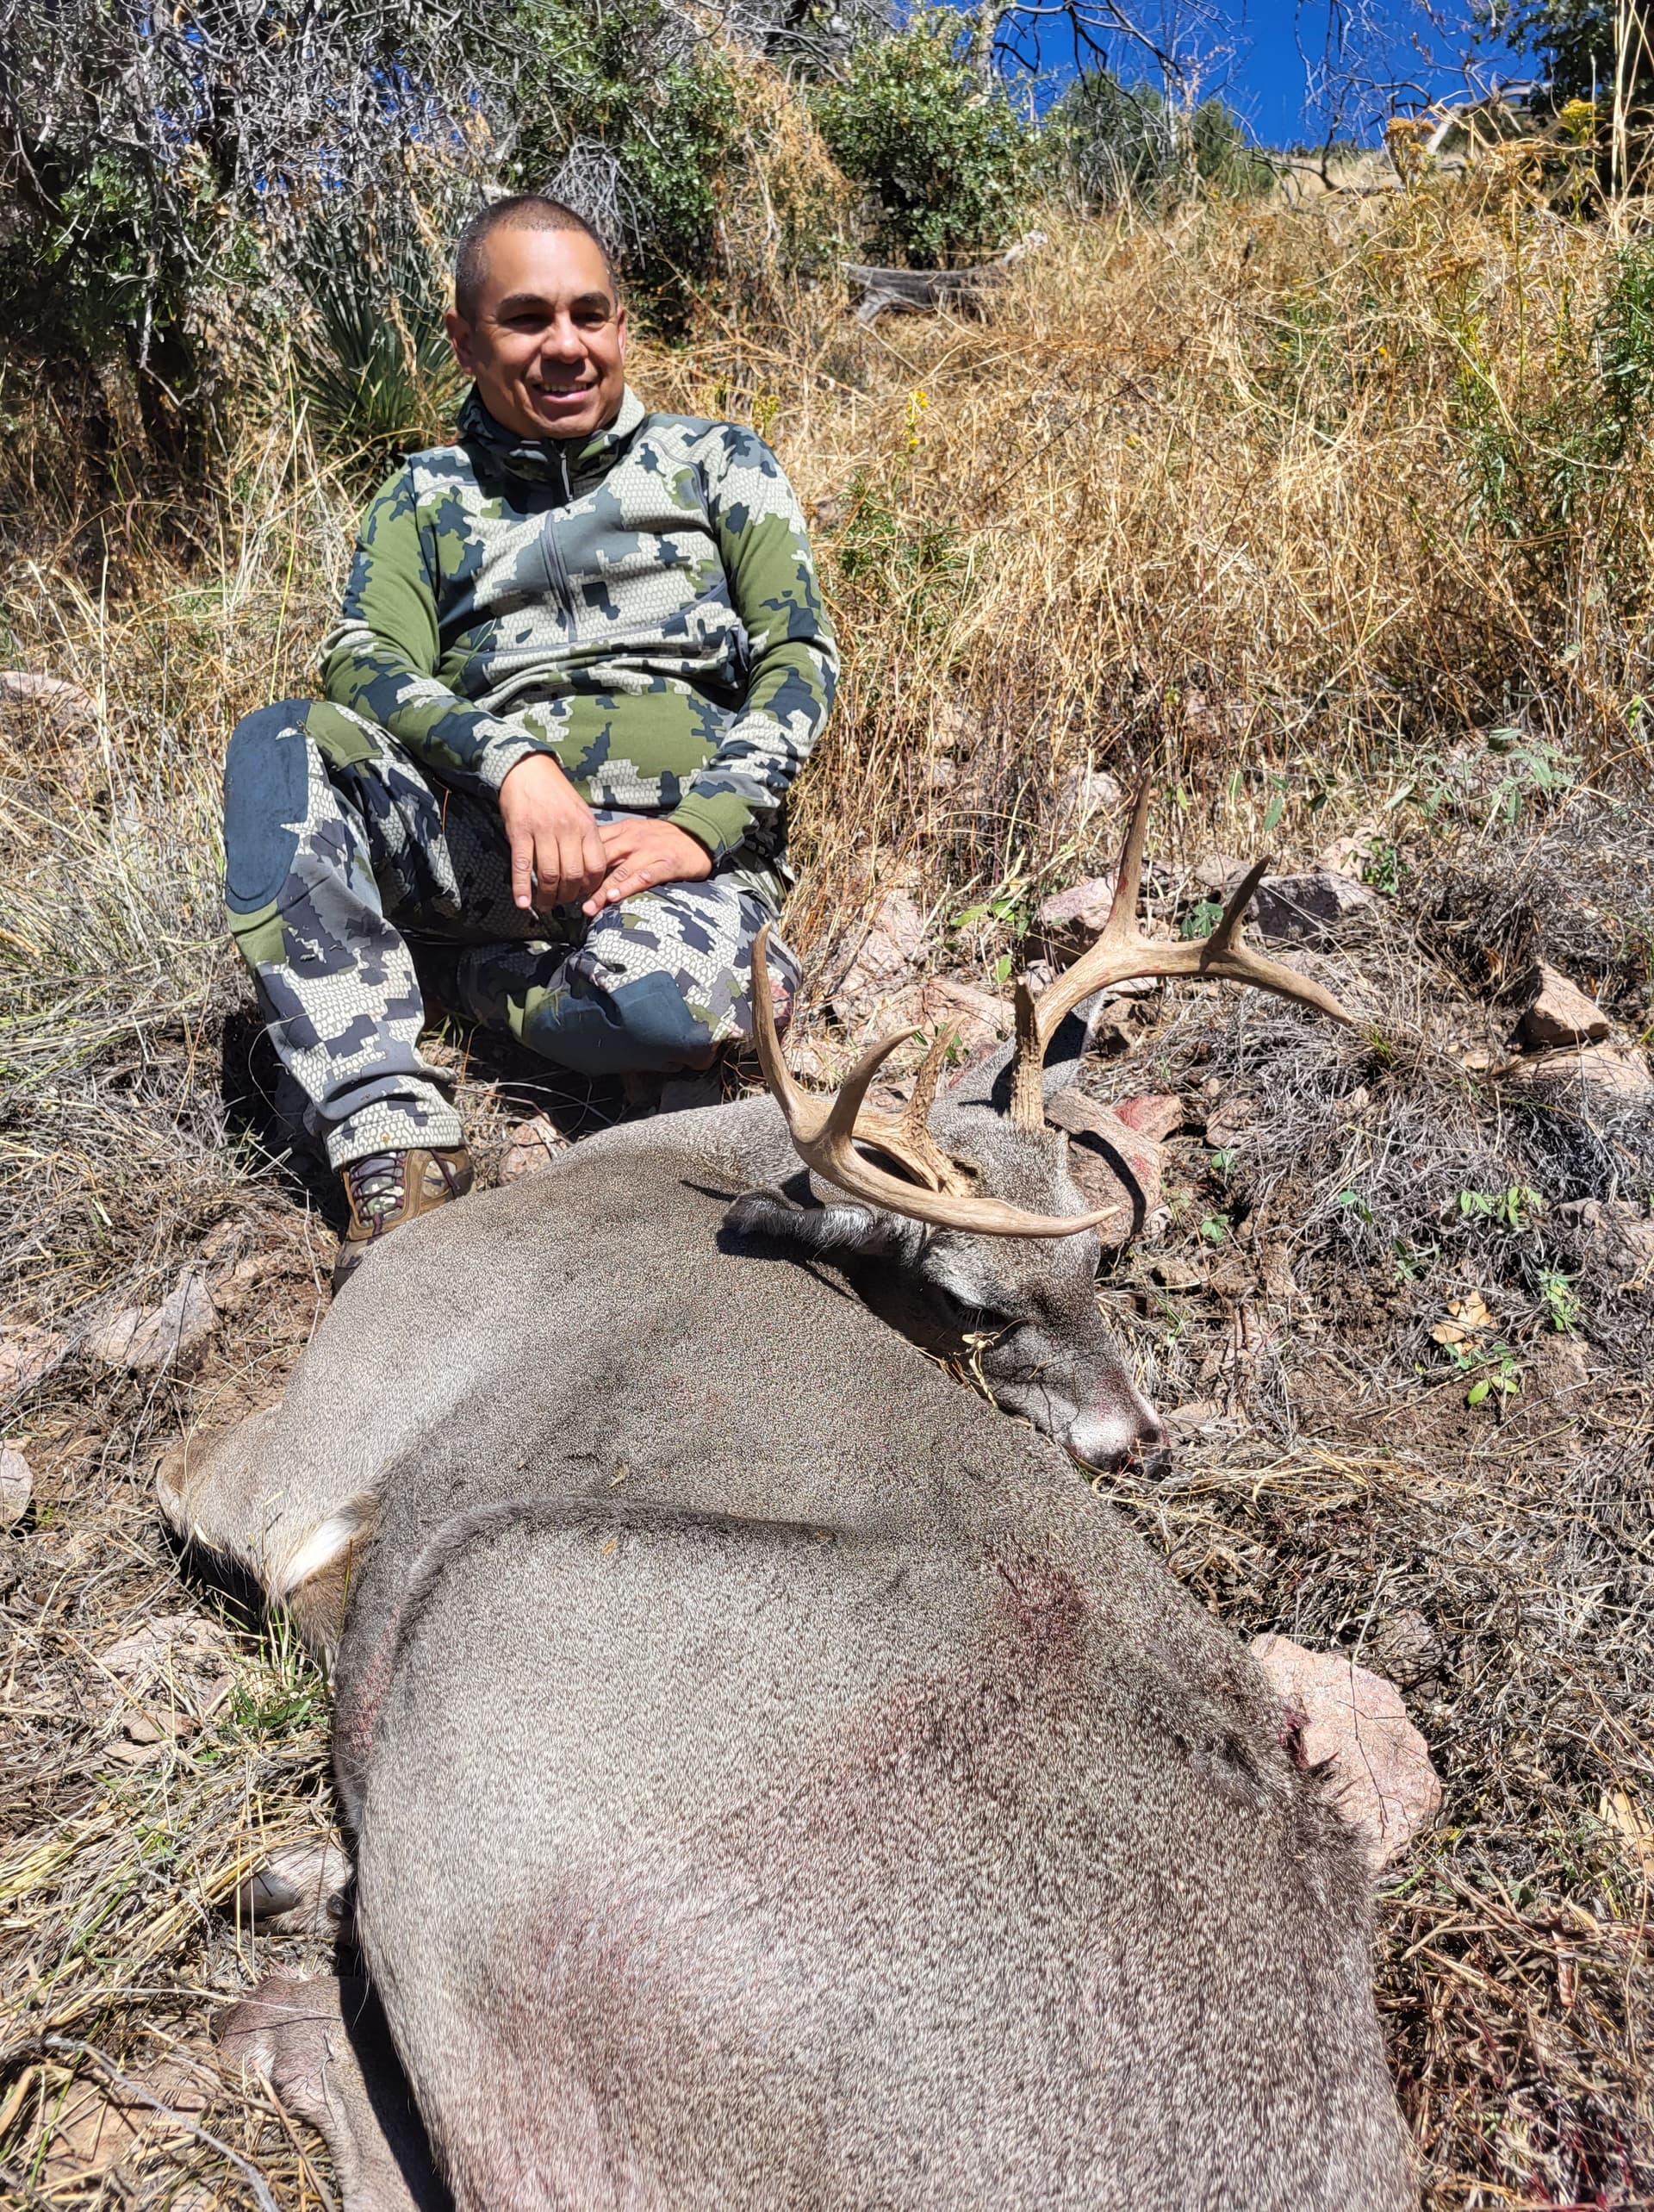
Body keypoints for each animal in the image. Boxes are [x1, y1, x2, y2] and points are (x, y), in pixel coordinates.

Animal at [164, 790, 1419, 2212]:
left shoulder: (324, 1430)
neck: (684, 1160)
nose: (1140, 1438)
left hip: (524, 1603)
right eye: (982, 1301)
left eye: (1098, 1253)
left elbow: (214, 1499)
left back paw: (279, 1966)